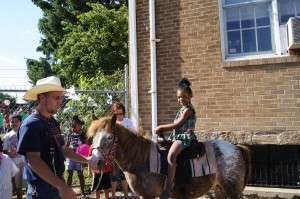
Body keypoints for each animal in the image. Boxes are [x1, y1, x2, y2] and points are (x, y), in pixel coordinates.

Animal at [87, 116, 251, 198]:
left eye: (109, 137)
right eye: (93, 137)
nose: (94, 162)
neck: (141, 158)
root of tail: (237, 148)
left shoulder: (149, 196)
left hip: (232, 190)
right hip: (219, 189)